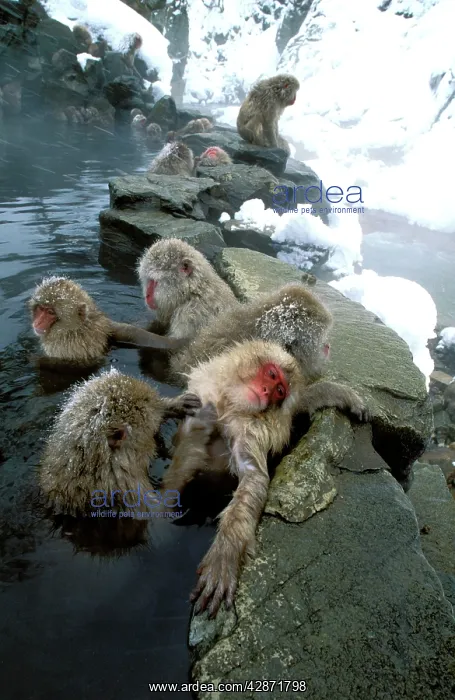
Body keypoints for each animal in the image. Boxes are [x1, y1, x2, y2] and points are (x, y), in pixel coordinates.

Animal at [163, 339, 369, 617]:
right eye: (271, 375)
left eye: (279, 391)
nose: (264, 391)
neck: (230, 405)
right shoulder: (205, 392)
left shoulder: (253, 430)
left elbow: (254, 477)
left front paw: (226, 552)